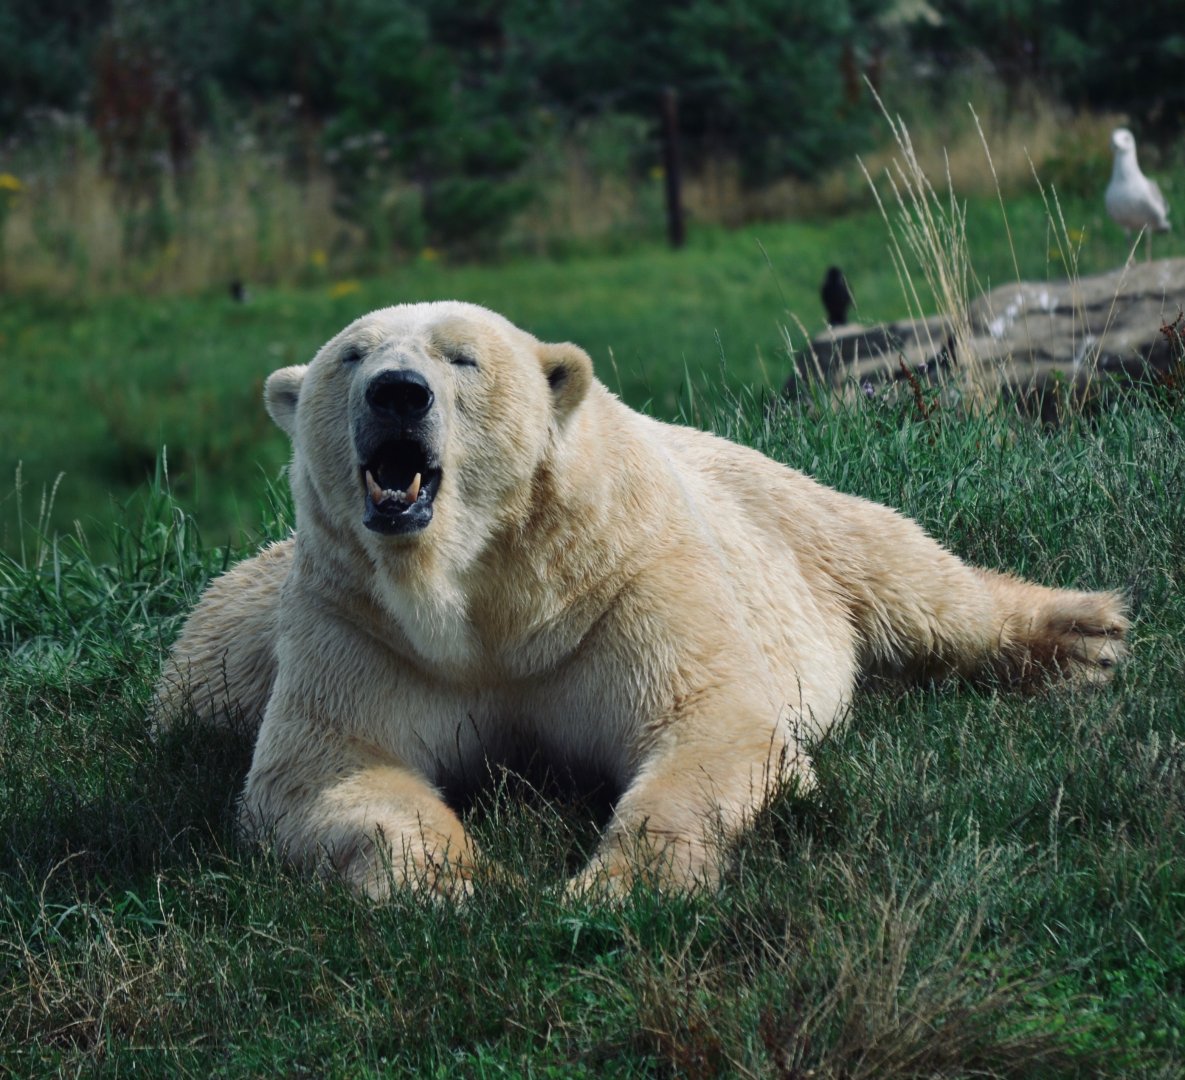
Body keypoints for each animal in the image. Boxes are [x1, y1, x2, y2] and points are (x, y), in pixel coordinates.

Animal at [154, 301, 1128, 899]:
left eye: (462, 356)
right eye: (351, 356)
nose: (397, 393)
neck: (482, 592)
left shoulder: (624, 584)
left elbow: (707, 726)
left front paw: (612, 887)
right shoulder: (357, 623)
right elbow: (333, 769)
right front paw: (459, 882)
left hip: (787, 515)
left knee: (904, 572)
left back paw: (1082, 637)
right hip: (216, 650)